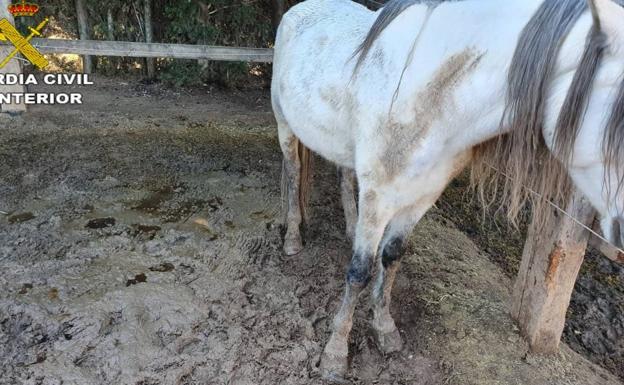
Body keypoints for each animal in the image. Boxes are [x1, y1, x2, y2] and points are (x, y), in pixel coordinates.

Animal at [272, 0, 624, 380]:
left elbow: (391, 258)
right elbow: (359, 272)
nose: (620, 238)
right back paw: (293, 237)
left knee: (344, 176)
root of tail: (298, 10)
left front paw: (385, 329)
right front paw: (335, 354)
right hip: (285, 126)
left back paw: (349, 228)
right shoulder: (379, 197)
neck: (428, 98)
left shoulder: (422, 197)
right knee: (293, 173)